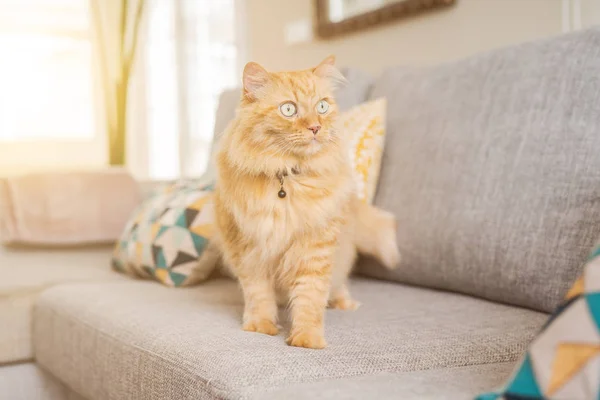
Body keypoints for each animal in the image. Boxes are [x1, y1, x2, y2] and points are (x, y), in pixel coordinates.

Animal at [213, 54, 400, 348]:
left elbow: (310, 298)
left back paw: (344, 303)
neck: (287, 178)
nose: (315, 127)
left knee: (338, 286)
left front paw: (306, 339)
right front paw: (261, 327)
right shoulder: (247, 248)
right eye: (289, 109)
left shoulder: (316, 246)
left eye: (322, 106)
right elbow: (258, 294)